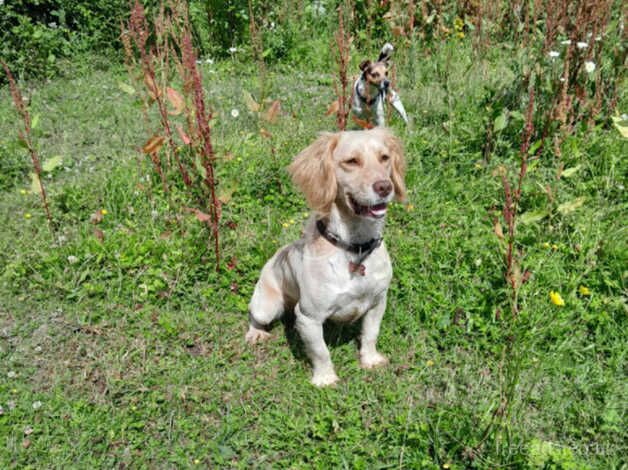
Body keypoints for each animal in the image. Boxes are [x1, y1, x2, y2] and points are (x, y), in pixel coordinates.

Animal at [243, 127, 404, 386]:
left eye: (384, 158)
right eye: (352, 161)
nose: (384, 187)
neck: (354, 248)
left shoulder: (378, 302)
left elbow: (370, 334)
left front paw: (370, 360)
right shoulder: (309, 317)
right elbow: (320, 351)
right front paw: (325, 378)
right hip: (266, 306)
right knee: (254, 317)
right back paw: (256, 334)